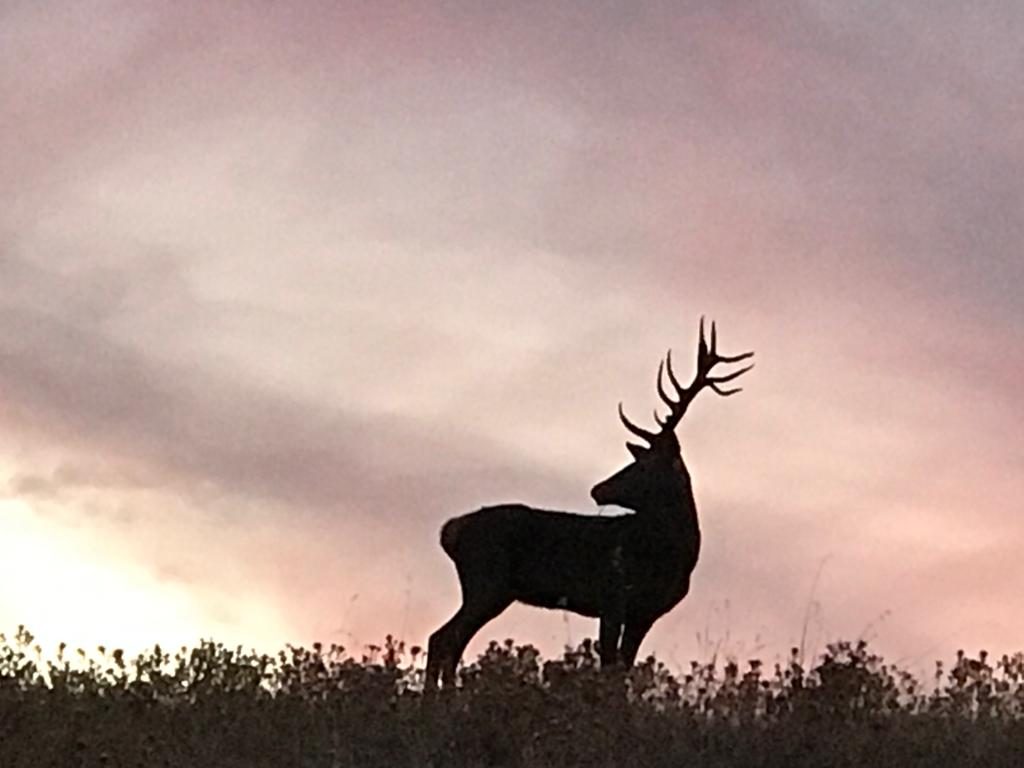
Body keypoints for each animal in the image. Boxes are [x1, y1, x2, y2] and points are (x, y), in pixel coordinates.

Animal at [424, 319, 753, 690]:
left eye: (643, 465)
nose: (598, 489)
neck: (671, 556)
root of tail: (449, 531)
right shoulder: (612, 597)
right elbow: (609, 667)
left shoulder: (644, 612)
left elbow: (624, 668)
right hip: (486, 580)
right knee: (444, 638)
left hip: (490, 588)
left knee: (448, 640)